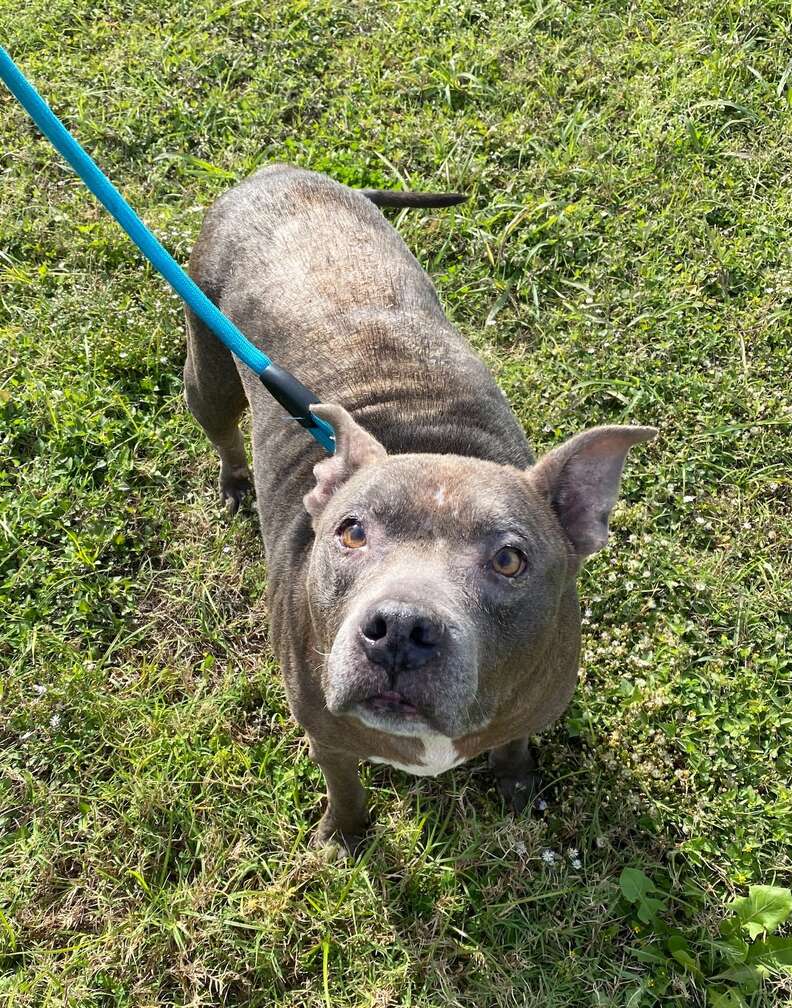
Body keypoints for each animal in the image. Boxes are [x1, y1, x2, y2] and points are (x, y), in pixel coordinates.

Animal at [183, 163, 652, 850]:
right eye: (351, 533)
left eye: (510, 560)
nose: (400, 628)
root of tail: (279, 171)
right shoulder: (327, 736)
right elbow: (344, 785)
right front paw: (346, 835)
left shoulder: (531, 709)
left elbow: (513, 744)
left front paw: (516, 784)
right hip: (209, 373)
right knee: (221, 427)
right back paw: (236, 482)